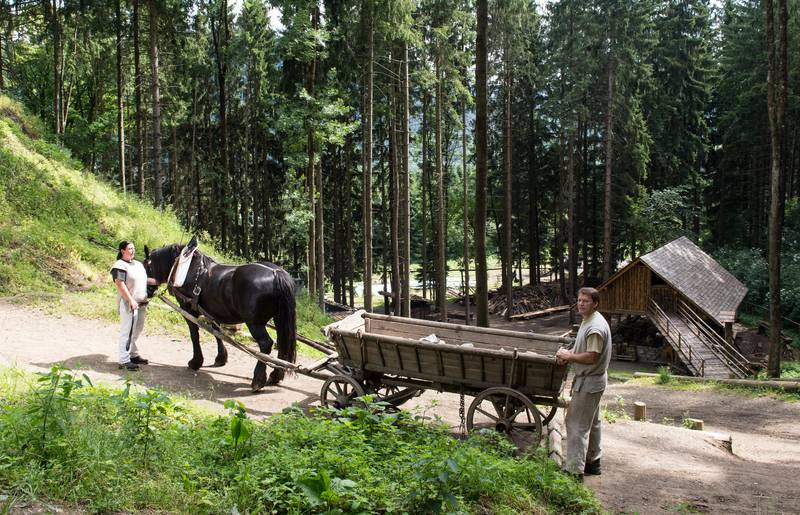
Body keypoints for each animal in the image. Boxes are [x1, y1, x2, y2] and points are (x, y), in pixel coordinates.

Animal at [144, 246, 296, 392]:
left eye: (146, 266)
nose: (147, 291)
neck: (186, 267)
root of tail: (276, 273)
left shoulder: (188, 310)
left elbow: (195, 335)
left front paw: (195, 362)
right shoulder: (213, 312)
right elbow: (217, 333)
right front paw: (221, 358)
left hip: (254, 323)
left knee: (266, 344)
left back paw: (258, 380)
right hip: (279, 319)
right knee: (282, 343)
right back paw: (275, 376)